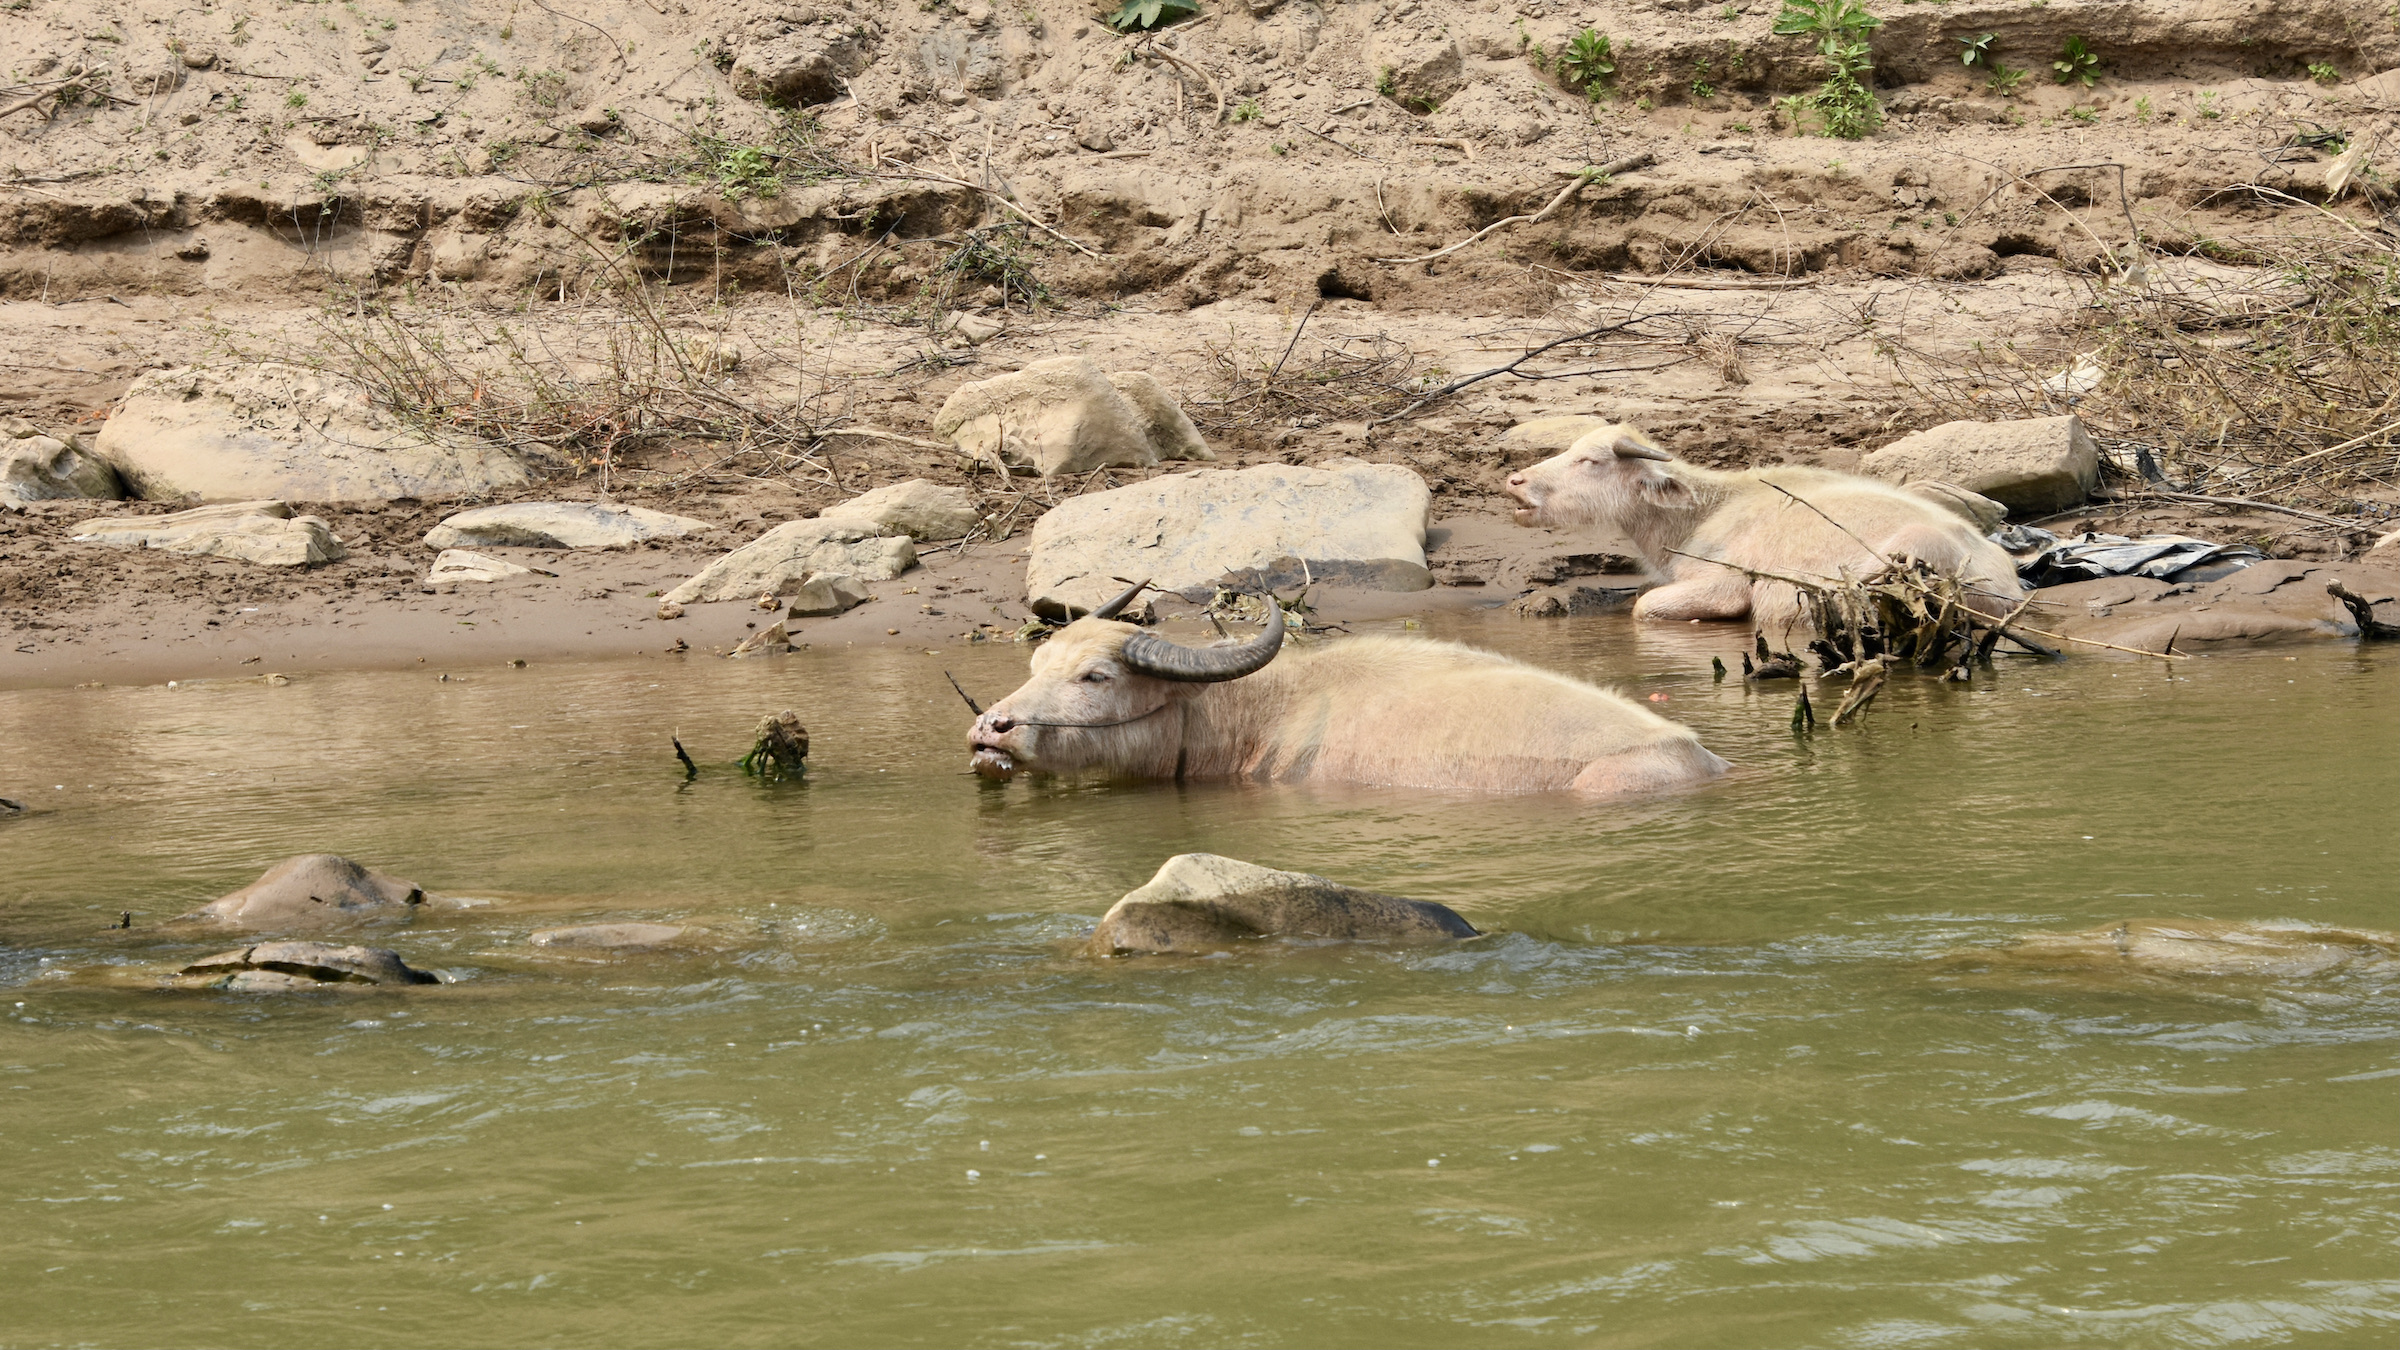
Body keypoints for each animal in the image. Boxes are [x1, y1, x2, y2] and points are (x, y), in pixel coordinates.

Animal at [1507, 420, 2016, 629]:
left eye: (1590, 461)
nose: (1515, 481)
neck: (1700, 515)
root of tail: (2005, 582)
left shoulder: (1724, 585)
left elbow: (1643, 607)